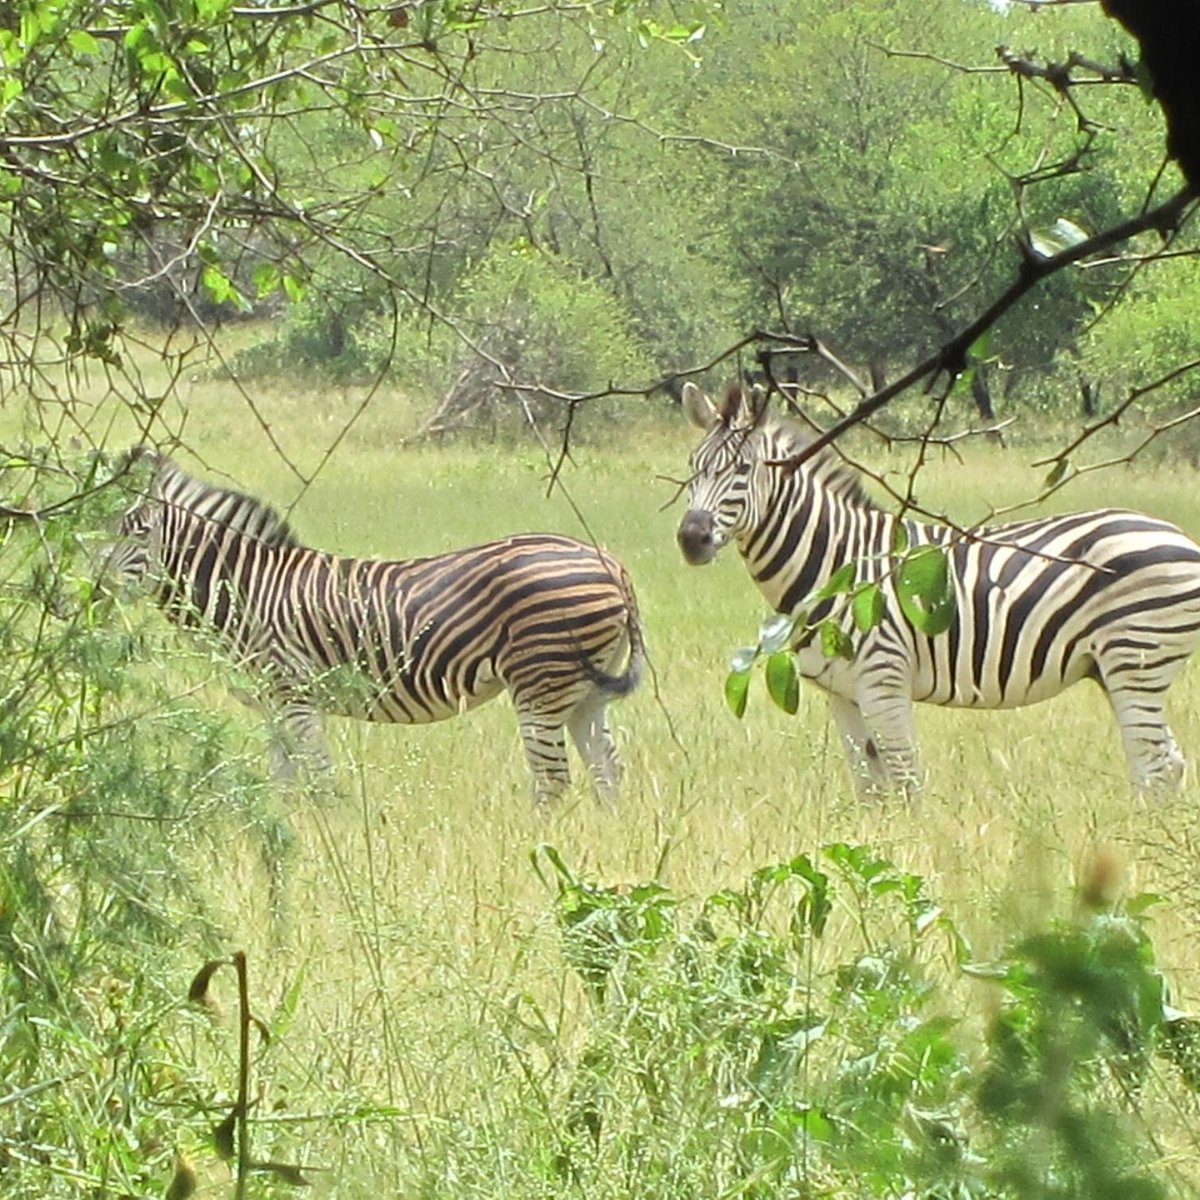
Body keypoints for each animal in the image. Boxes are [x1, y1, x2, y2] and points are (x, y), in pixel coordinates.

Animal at [104, 451, 648, 806]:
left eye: (136, 533)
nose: (85, 591)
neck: (249, 591)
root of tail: (611, 565)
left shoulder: (296, 692)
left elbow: (318, 777)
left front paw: (327, 844)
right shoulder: (271, 703)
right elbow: (283, 782)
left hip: (540, 682)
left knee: (553, 781)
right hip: (585, 690)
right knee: (607, 767)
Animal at [676, 384, 1200, 796]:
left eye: (743, 469)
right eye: (692, 466)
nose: (691, 538)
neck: (835, 561)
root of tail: (1176, 534)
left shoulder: (884, 681)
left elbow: (906, 781)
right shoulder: (842, 693)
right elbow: (870, 788)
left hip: (1136, 660)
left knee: (1154, 765)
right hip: (1115, 668)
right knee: (1168, 764)